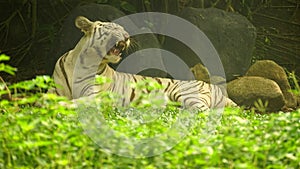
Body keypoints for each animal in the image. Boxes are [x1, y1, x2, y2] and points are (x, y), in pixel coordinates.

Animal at [50, 15, 236, 111]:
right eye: (114, 28)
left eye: (123, 30)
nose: (127, 36)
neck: (85, 61)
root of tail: (214, 87)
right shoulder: (56, 90)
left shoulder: (93, 96)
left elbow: (74, 102)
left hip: (187, 94)